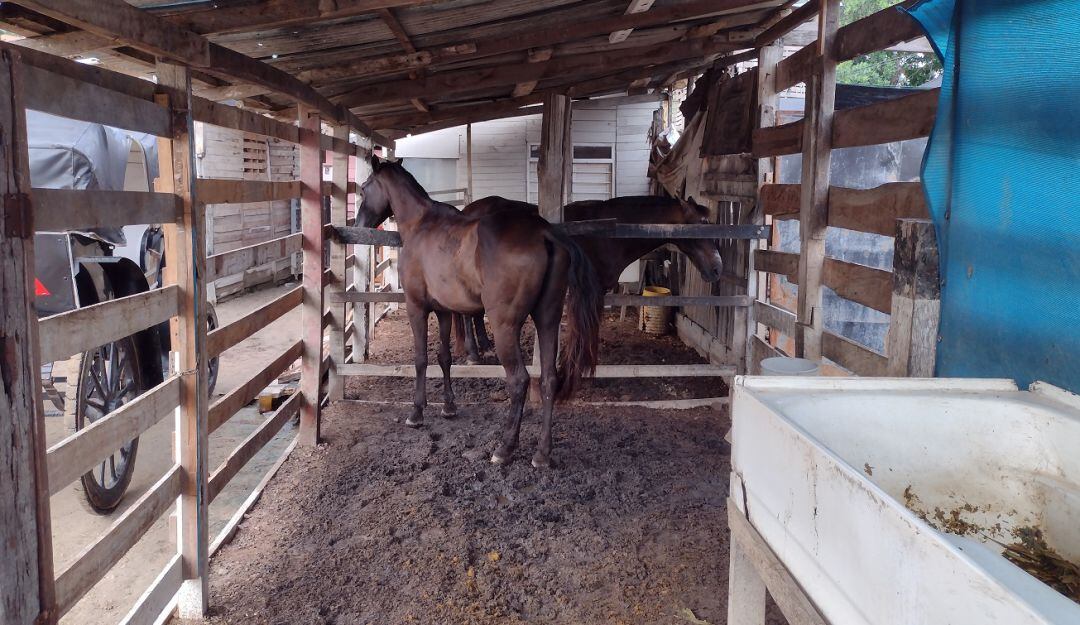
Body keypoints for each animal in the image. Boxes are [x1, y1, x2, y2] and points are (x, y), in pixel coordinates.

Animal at [354, 157, 603, 468]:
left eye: (364, 188)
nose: (359, 225)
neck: (421, 224)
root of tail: (546, 233)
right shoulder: (444, 311)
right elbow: (444, 357)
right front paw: (449, 406)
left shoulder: (416, 307)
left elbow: (422, 359)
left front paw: (417, 412)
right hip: (548, 320)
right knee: (548, 380)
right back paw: (542, 453)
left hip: (504, 326)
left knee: (519, 380)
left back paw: (505, 448)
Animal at [453, 195, 725, 363]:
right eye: (700, 226)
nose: (717, 268)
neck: (608, 234)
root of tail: (467, 211)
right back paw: (474, 354)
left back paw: (486, 346)